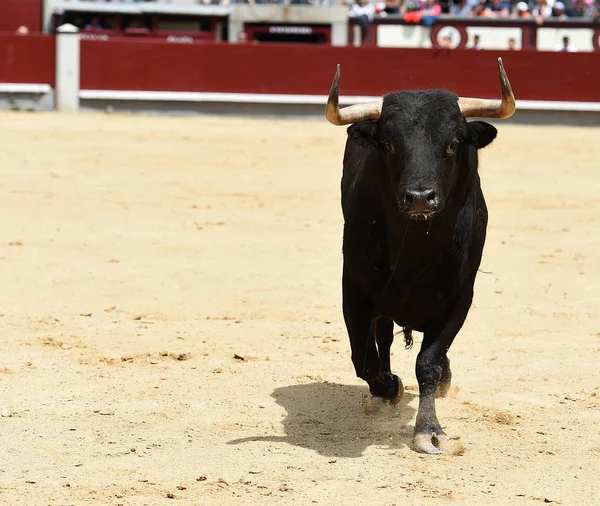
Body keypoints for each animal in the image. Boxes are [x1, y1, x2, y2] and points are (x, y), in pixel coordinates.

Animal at [324, 58, 516, 454]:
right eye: (389, 144)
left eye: (453, 143)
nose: (419, 197)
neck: (416, 251)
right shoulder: (355, 291)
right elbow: (364, 360)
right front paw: (389, 388)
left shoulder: (459, 299)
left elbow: (428, 363)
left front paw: (428, 429)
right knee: (380, 340)